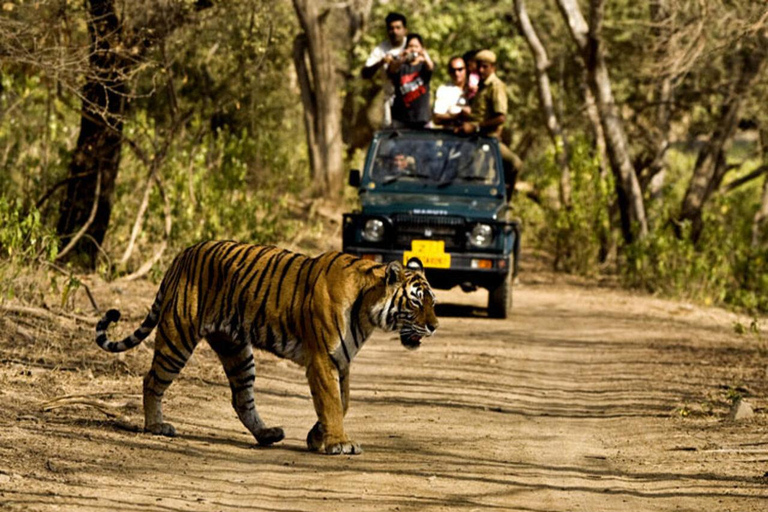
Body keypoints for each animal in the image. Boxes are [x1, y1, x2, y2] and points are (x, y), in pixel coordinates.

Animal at [94, 242, 438, 454]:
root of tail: (183, 254)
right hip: (178, 336)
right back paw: (156, 426)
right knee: (152, 380)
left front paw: (317, 437)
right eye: (416, 300)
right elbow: (331, 402)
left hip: (236, 350)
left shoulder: (343, 361)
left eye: (433, 301)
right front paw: (338, 443)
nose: (435, 326)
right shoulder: (323, 359)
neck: (368, 310)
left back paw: (267, 434)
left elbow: (343, 402)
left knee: (241, 399)